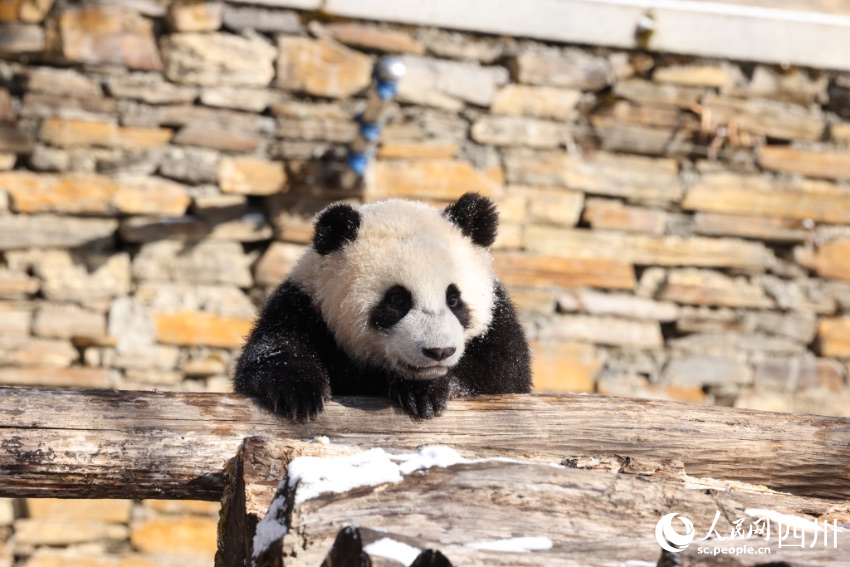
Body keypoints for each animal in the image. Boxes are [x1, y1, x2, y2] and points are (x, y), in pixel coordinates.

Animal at [233, 192, 532, 420]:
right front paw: (299, 393)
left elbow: (501, 374)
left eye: (453, 299)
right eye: (398, 300)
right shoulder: (306, 305)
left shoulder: (499, 324)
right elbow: (270, 348)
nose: (438, 351)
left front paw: (425, 392)